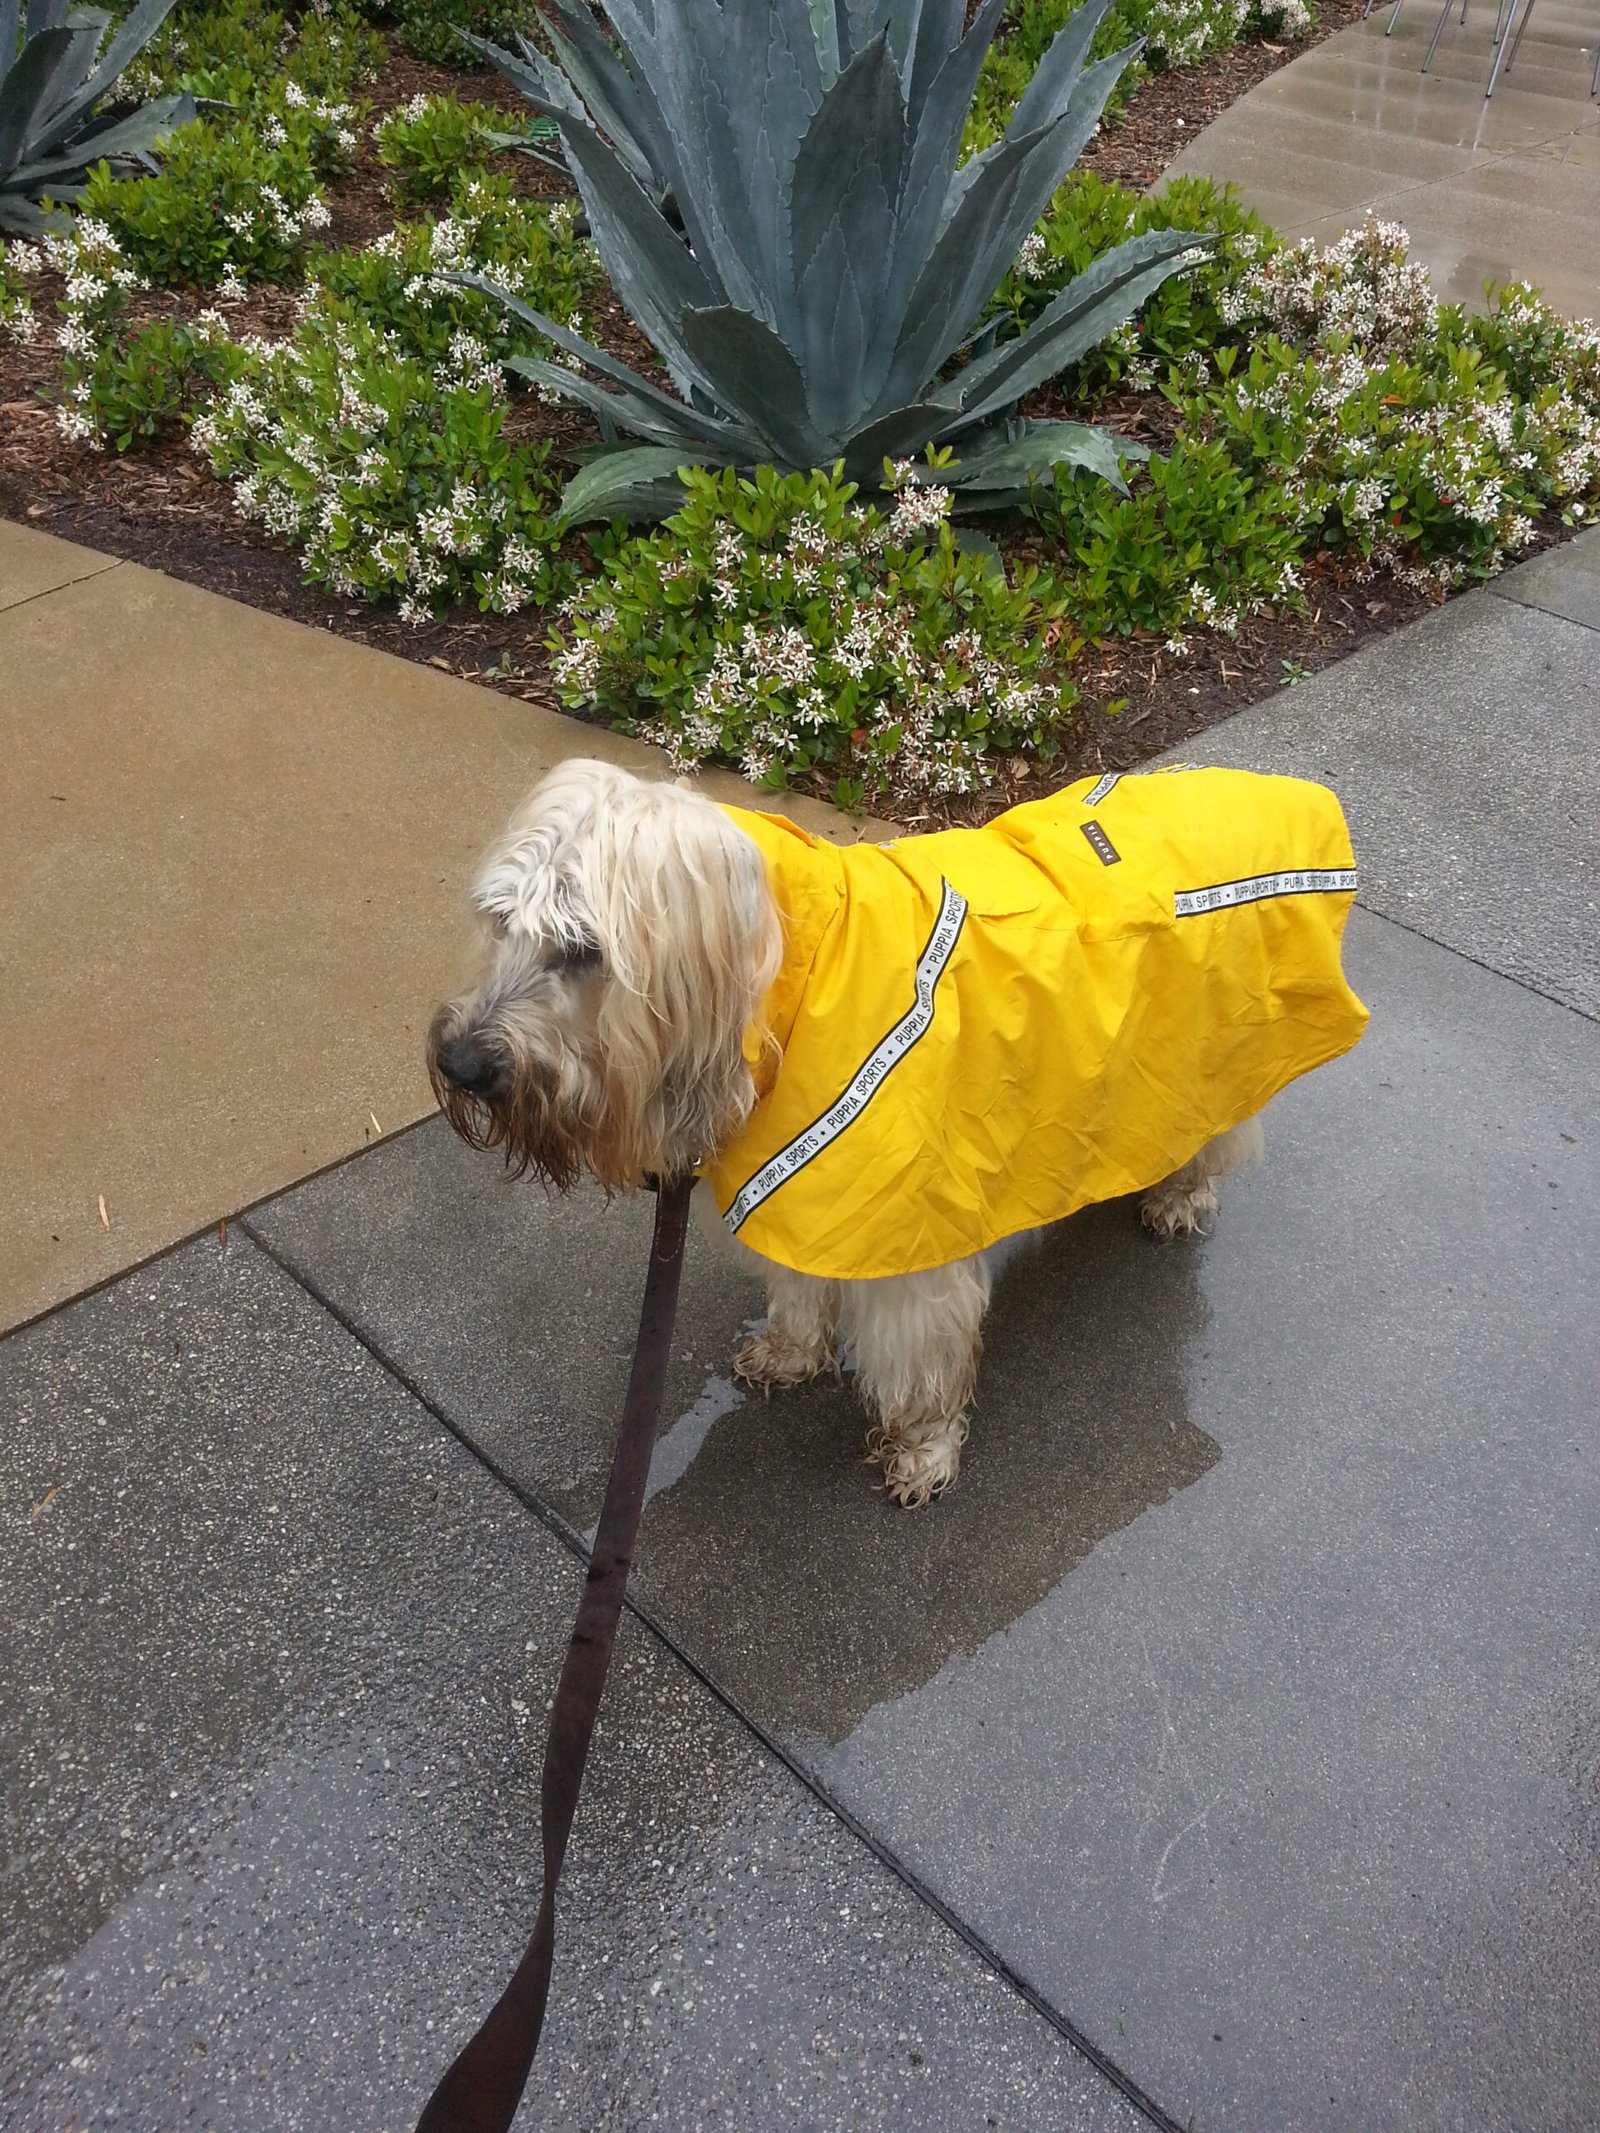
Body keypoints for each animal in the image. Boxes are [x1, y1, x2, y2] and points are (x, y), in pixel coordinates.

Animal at [430, 758, 1366, 1506]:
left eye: (583, 949)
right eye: (500, 922)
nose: (460, 1062)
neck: (791, 978)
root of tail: (1283, 789)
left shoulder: (911, 1240)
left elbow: (918, 1359)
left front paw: (922, 1450)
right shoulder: (807, 1189)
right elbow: (800, 1285)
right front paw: (791, 1349)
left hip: (1207, 1054)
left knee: (1217, 1132)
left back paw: (1180, 1193)